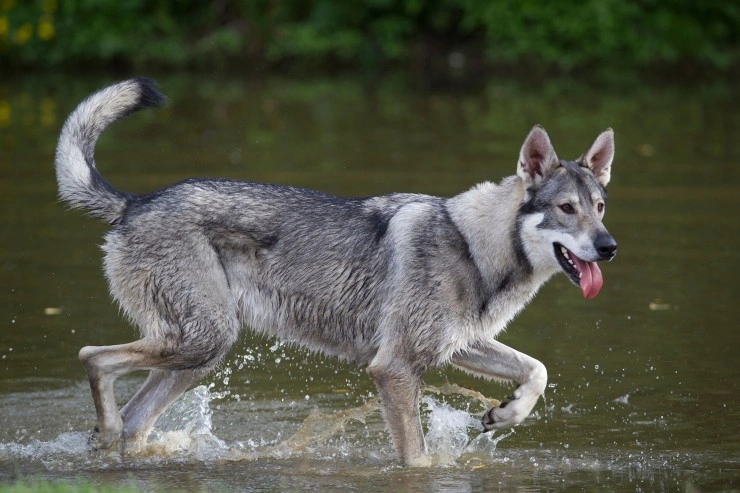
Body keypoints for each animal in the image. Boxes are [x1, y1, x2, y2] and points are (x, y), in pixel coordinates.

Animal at [55, 78, 616, 466]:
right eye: (566, 209)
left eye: (600, 207)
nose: (609, 247)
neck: (474, 245)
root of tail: (134, 203)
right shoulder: (395, 368)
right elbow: (417, 460)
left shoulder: (457, 345)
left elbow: (536, 370)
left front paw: (506, 413)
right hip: (202, 340)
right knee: (92, 357)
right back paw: (104, 429)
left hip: (199, 355)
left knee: (133, 418)